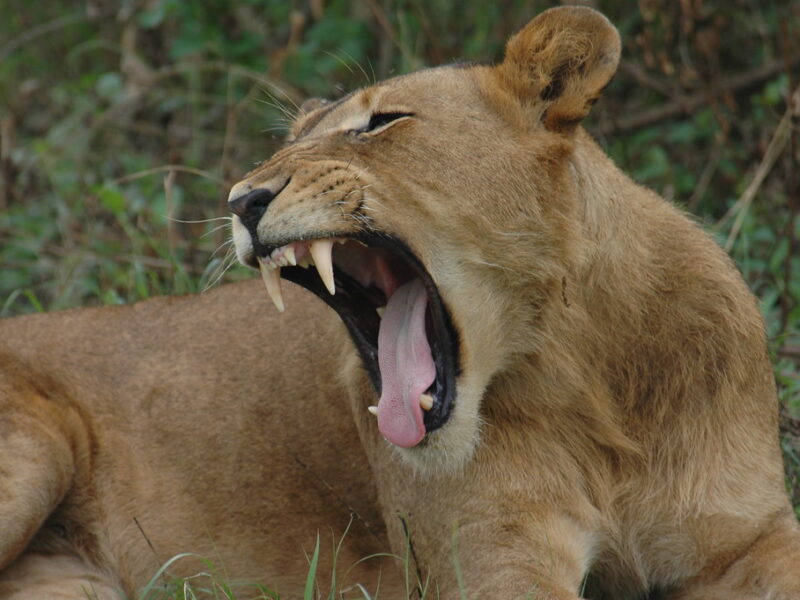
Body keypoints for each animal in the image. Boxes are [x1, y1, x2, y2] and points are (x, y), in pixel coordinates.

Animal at [1, 5, 798, 599]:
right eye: (291, 141)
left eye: (380, 123)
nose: (241, 199)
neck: (585, 378)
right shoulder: (492, 567)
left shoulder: (750, 537)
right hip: (34, 450)